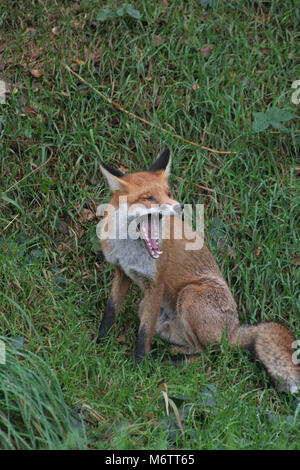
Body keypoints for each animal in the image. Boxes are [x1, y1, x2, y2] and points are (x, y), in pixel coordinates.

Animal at [96, 150, 300, 392]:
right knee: (197, 348)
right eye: (149, 198)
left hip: (189, 295)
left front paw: (138, 368)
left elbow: (143, 334)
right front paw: (98, 344)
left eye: (168, 193)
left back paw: (170, 362)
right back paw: (171, 354)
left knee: (214, 354)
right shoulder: (122, 272)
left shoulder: (156, 283)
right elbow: (110, 312)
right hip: (149, 309)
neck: (128, 247)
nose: (179, 206)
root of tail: (233, 330)